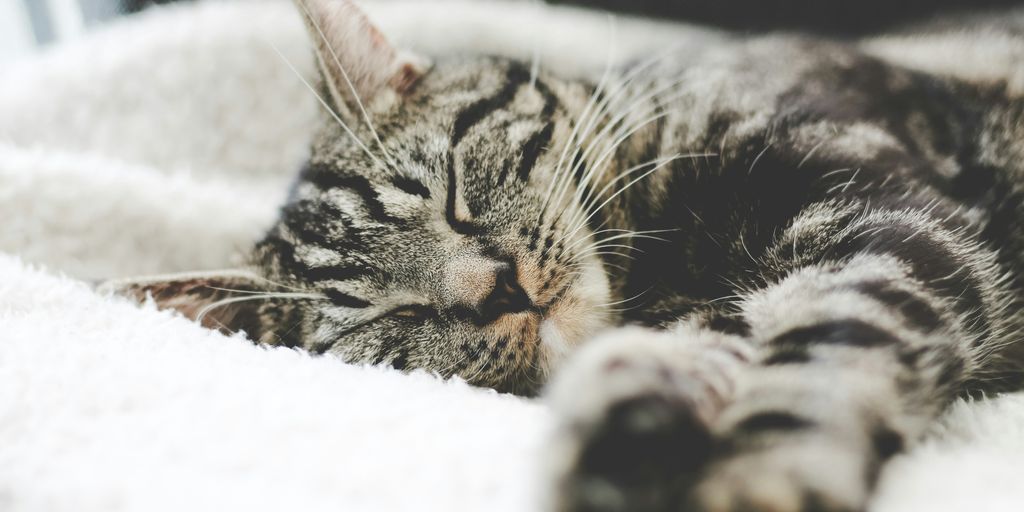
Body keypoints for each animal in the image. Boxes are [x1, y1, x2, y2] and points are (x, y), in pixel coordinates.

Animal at [105, 0, 1024, 509]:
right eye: (391, 315)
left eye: (450, 190)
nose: (492, 289)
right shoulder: (707, 313)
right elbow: (680, 357)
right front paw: (625, 434)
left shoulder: (891, 219)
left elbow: (831, 345)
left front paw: (759, 476)